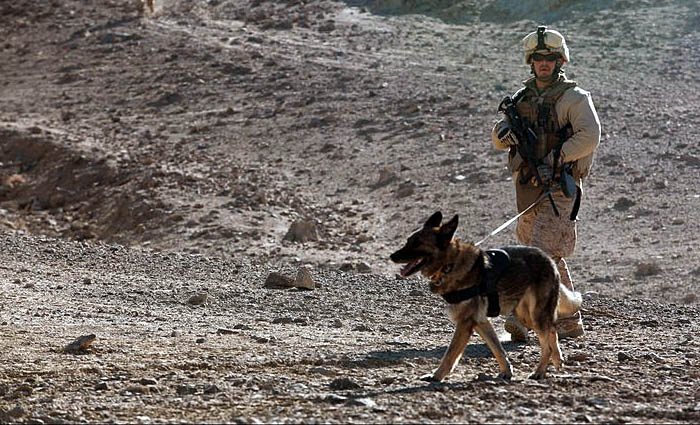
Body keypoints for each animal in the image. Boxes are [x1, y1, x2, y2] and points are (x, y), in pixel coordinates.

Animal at [392, 210, 584, 380]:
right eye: (408, 241)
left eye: (417, 243)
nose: (392, 256)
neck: (450, 263)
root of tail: (549, 259)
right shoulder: (480, 321)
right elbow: (497, 349)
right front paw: (506, 371)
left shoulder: (465, 322)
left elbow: (450, 354)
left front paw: (436, 376)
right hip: (526, 314)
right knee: (552, 330)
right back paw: (557, 359)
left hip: (535, 315)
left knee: (547, 343)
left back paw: (540, 371)